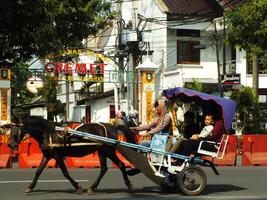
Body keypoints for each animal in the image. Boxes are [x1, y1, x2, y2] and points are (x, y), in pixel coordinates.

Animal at [7, 115, 137, 194]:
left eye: (15, 130)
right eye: (10, 129)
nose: (10, 145)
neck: (48, 133)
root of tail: (112, 126)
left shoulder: (58, 156)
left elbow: (65, 172)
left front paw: (77, 187)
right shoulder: (47, 155)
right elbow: (38, 171)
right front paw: (30, 187)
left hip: (109, 151)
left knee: (120, 165)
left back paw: (129, 185)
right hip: (102, 151)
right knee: (104, 168)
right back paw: (93, 187)